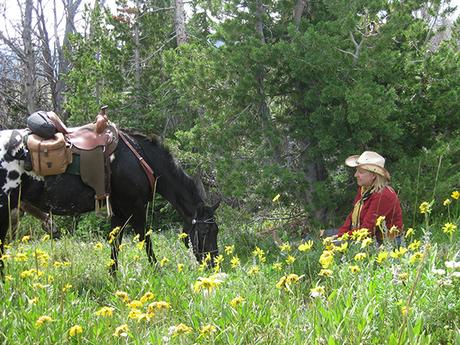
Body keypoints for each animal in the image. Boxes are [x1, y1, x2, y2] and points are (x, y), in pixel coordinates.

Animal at [0, 126, 219, 276]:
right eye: (205, 231)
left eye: (216, 230)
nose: (214, 263)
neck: (140, 158)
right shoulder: (135, 207)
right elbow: (146, 240)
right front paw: (158, 271)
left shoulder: (119, 212)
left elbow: (115, 245)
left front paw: (113, 279)